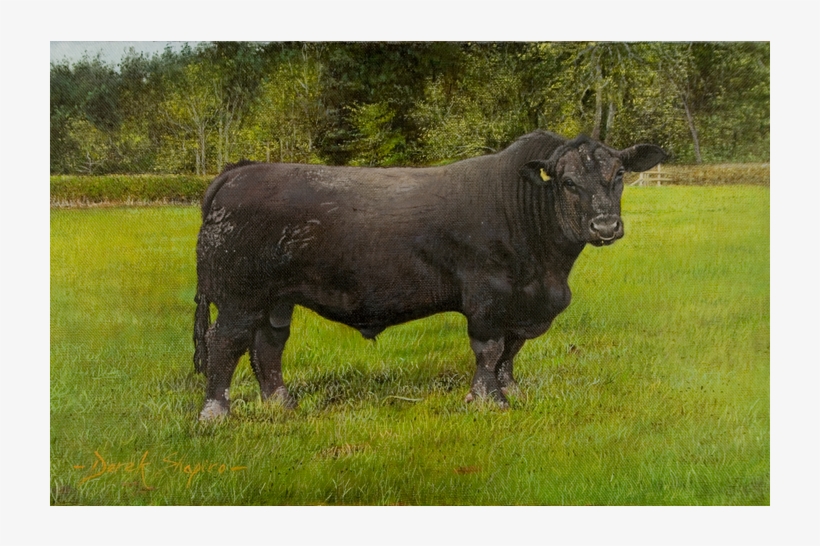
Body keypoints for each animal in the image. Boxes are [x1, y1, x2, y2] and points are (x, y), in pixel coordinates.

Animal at [193, 130, 666, 420]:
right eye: (566, 182)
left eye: (619, 175)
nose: (605, 225)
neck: (548, 272)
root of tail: (241, 170)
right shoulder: (487, 296)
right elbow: (490, 350)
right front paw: (487, 400)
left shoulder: (523, 304)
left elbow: (511, 352)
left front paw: (512, 392)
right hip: (238, 295)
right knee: (225, 342)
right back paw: (215, 412)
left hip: (276, 297)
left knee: (268, 344)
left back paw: (280, 403)